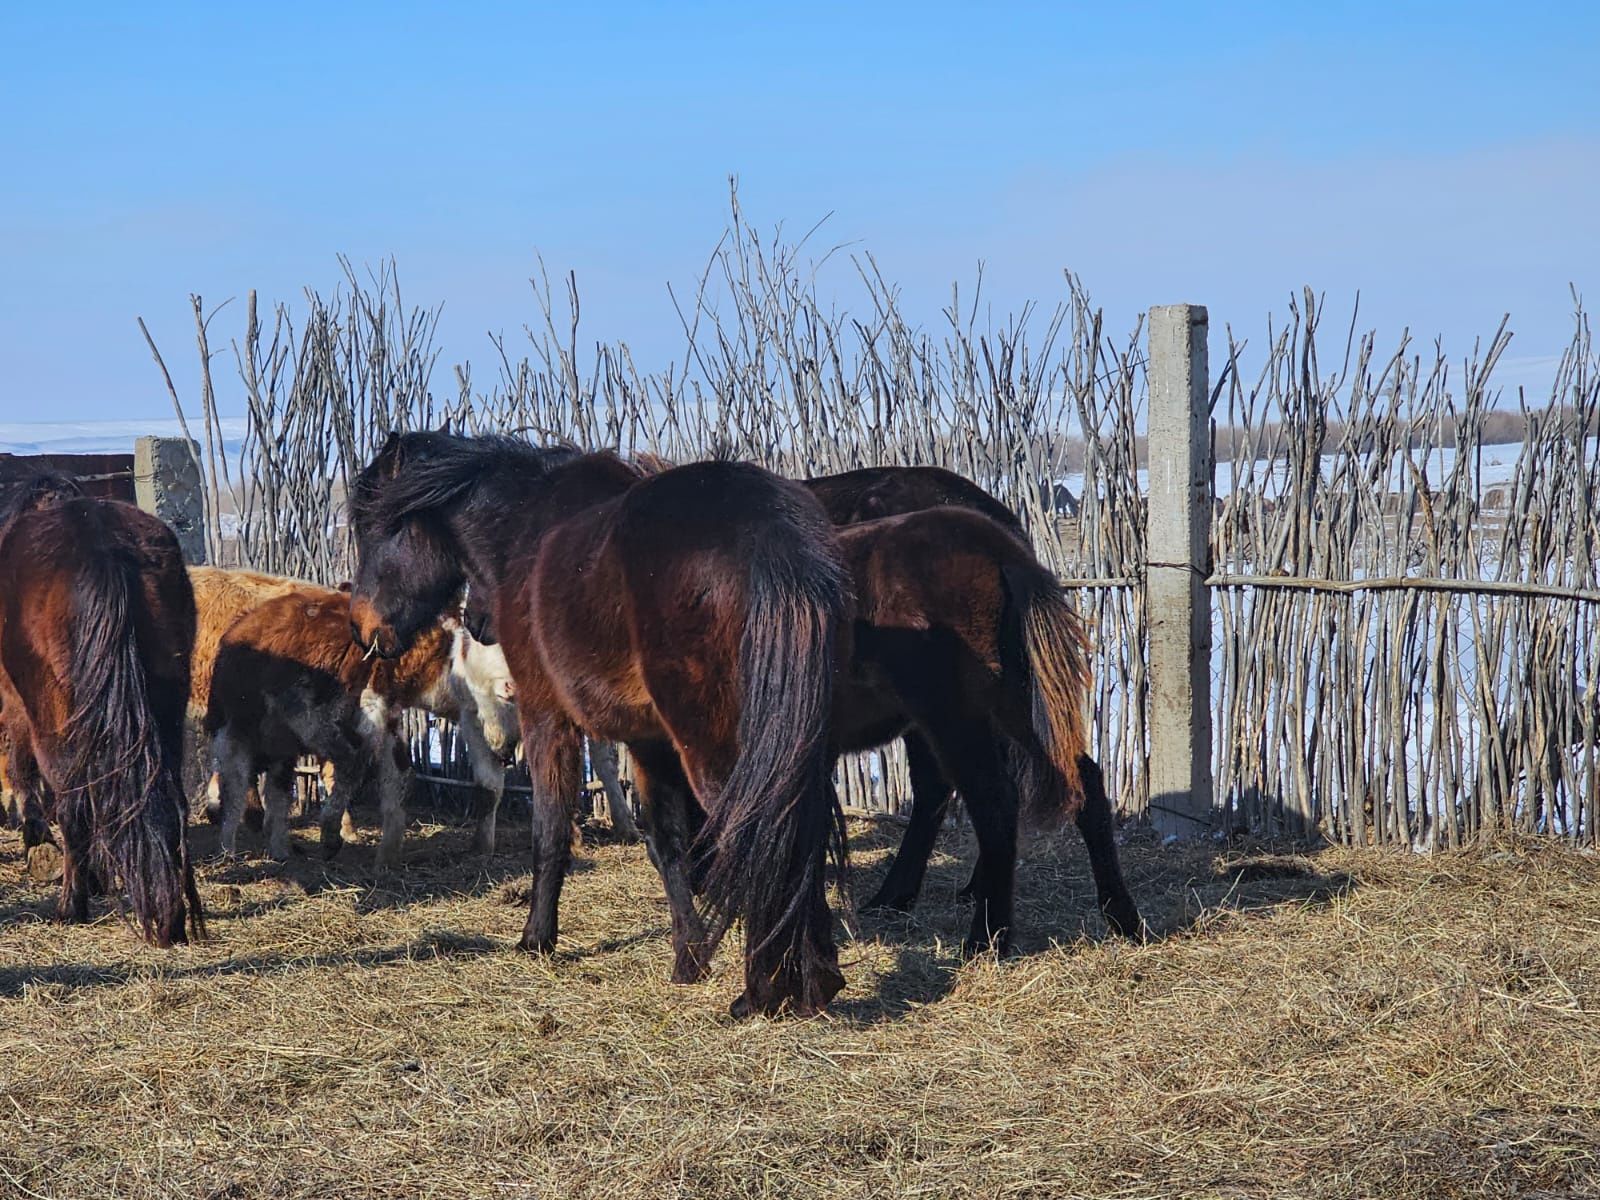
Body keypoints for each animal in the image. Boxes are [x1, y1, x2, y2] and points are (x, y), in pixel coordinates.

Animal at [0, 464, 206, 947]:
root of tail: (102, 547)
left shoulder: (17, 707)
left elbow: (24, 772)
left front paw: (37, 840)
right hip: (165, 709)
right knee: (168, 798)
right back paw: (173, 915)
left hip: (54, 720)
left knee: (71, 801)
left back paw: (70, 905)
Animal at [348, 432, 851, 1017]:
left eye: (374, 529)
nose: (361, 628)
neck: (526, 527)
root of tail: (770, 533)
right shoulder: (650, 741)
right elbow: (667, 843)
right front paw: (689, 957)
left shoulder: (546, 717)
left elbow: (550, 829)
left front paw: (536, 939)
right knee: (799, 833)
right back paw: (815, 979)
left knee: (755, 836)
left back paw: (765, 991)